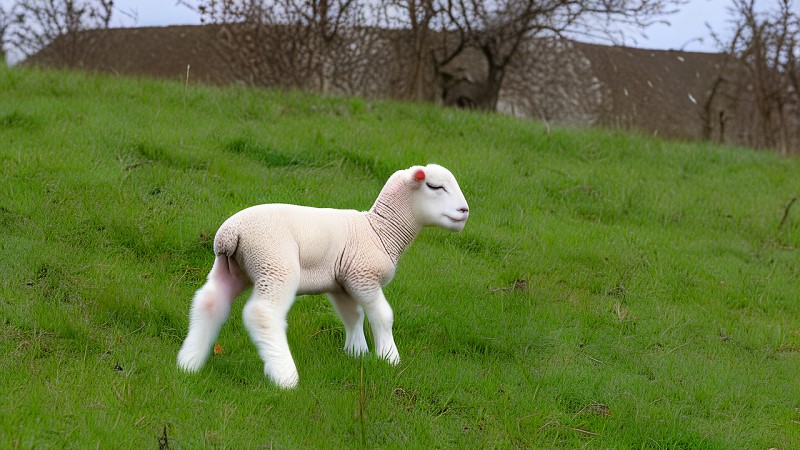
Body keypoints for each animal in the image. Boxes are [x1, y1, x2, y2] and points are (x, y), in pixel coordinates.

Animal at [175, 163, 468, 388]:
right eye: (435, 187)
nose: (465, 211)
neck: (380, 230)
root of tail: (230, 234)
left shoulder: (341, 283)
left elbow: (353, 316)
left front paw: (356, 353)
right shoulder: (363, 277)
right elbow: (382, 316)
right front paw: (389, 358)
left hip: (233, 268)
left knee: (209, 302)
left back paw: (189, 362)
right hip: (275, 264)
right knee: (262, 313)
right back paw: (284, 376)